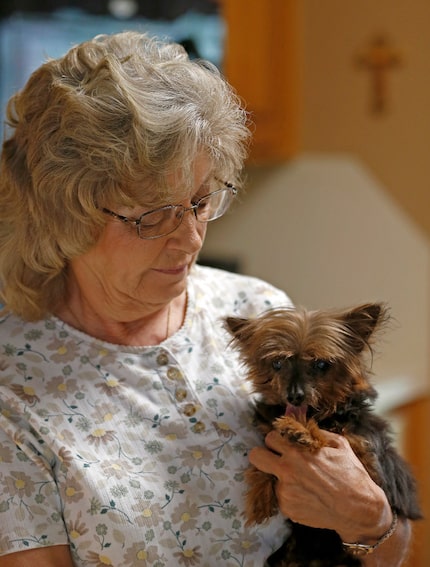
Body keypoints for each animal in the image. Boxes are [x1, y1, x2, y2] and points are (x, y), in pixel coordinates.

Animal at [227, 304, 422, 567]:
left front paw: (301, 431)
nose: (294, 395)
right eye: (277, 363)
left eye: (320, 364)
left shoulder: (370, 464)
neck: (317, 415)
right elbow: (262, 462)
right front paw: (259, 499)